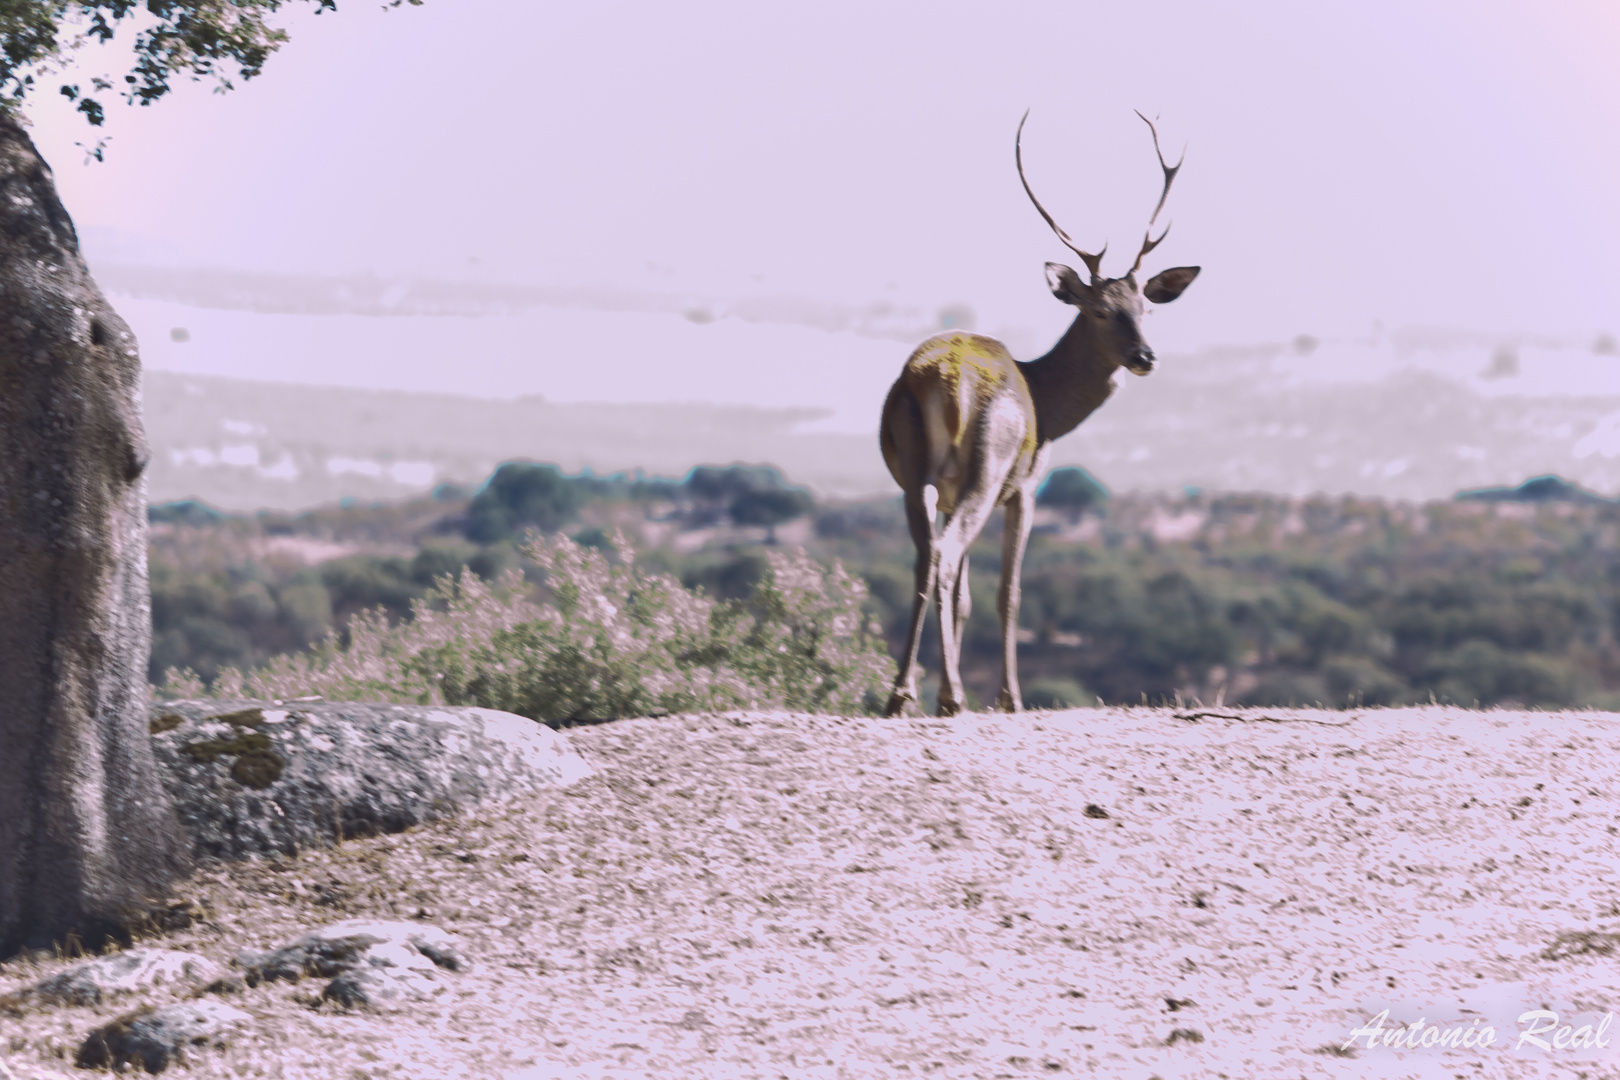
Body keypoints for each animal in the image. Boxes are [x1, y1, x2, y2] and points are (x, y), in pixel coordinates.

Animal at [874, 111, 1205, 718]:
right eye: (1099, 311)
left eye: (1145, 308)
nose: (1145, 357)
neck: (1049, 407)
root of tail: (941, 382)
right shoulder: (1026, 484)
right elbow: (1009, 591)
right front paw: (1010, 698)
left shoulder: (949, 490)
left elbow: (965, 597)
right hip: (987, 465)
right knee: (947, 556)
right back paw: (953, 696)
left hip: (914, 472)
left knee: (925, 558)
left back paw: (902, 694)